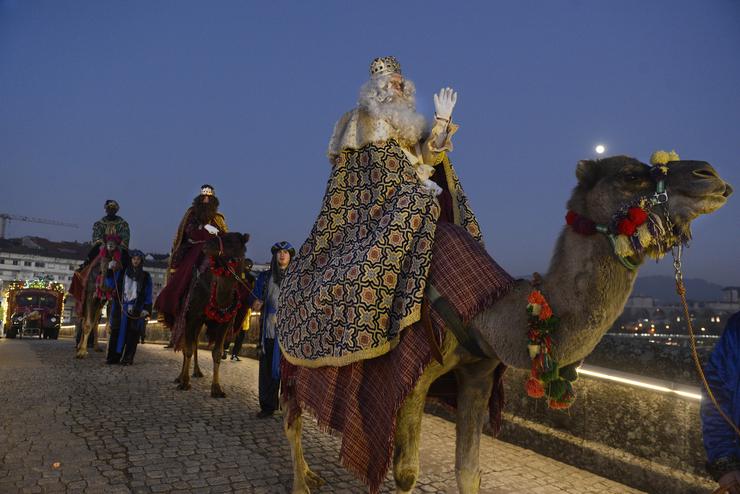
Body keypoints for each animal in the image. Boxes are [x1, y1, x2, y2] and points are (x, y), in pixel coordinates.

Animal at [175, 232, 250, 398]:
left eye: (230, 241)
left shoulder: (224, 323)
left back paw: (197, 371)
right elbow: (187, 349)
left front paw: (216, 388)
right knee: (186, 343)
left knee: (195, 342)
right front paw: (184, 382)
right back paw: (180, 377)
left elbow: (217, 353)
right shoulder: (192, 317)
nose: (206, 244)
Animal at [284, 157, 736, 494]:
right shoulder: (410, 377)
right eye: (631, 175)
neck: (485, 308)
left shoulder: (478, 373)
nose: (709, 174)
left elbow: (468, 470)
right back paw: (303, 482)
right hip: (291, 357)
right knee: (292, 416)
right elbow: (407, 473)